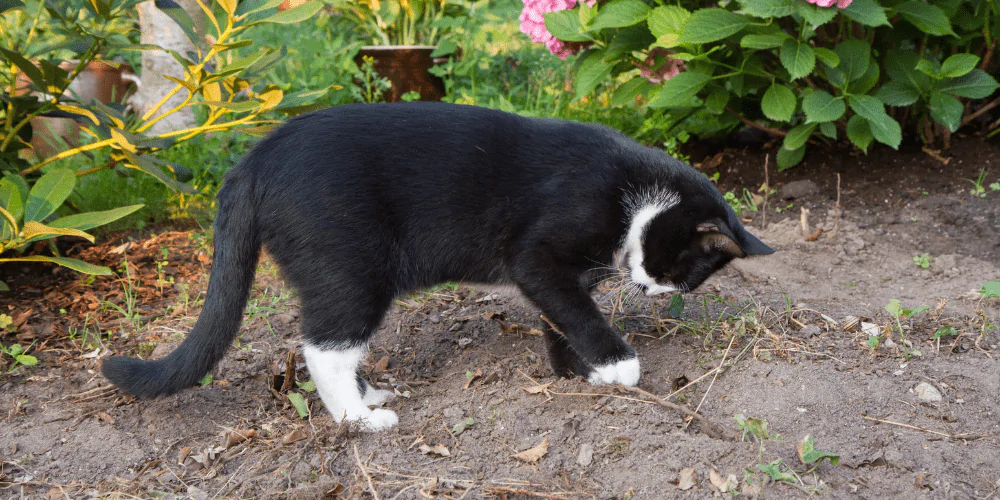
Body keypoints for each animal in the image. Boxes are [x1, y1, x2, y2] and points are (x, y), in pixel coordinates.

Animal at [101, 101, 772, 430]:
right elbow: (578, 313)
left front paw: (576, 373)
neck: (633, 192)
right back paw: (361, 420)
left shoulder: (562, 276)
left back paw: (369, 395)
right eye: (683, 268)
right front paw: (620, 368)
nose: (651, 287)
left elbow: (561, 318)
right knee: (324, 346)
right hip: (352, 265)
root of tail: (254, 158)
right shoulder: (537, 254)